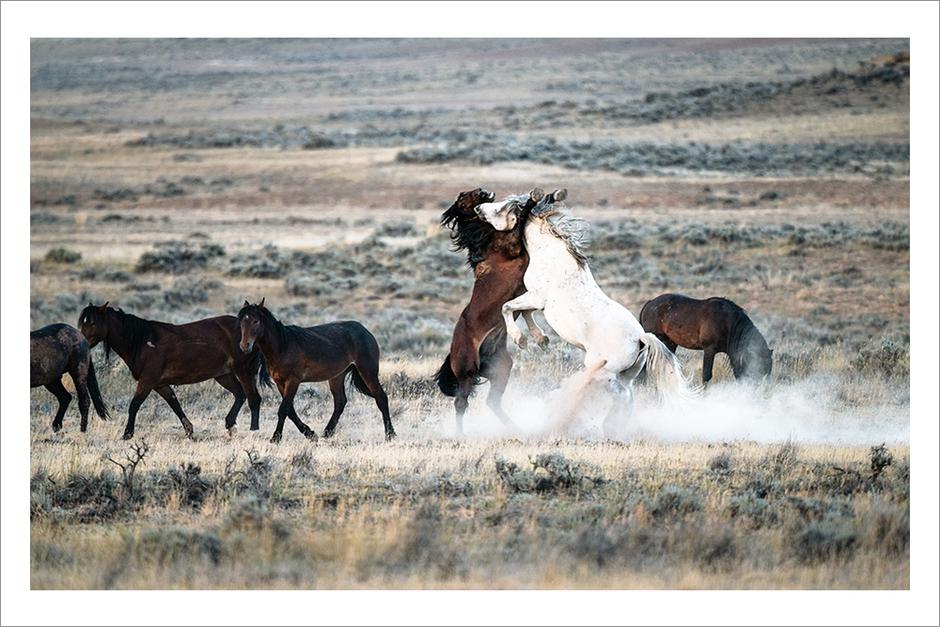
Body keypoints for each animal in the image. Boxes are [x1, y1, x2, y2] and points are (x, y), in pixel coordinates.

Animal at [78, 302, 271, 440]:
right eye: (82, 323)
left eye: (93, 323)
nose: (81, 343)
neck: (142, 341)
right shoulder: (160, 384)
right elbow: (174, 404)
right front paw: (189, 431)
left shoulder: (147, 381)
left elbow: (134, 405)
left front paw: (127, 434)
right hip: (224, 375)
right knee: (240, 395)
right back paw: (230, 425)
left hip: (244, 371)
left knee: (254, 399)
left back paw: (253, 430)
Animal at [237, 300, 395, 443]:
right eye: (241, 322)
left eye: (256, 321)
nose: (245, 346)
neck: (282, 347)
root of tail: (365, 331)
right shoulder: (280, 383)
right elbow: (290, 411)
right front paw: (310, 434)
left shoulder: (293, 381)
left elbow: (283, 410)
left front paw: (275, 438)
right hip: (337, 376)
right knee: (340, 402)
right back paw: (327, 432)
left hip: (368, 372)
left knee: (381, 397)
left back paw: (390, 435)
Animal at [434, 187, 561, 436]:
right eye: (463, 196)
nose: (483, 190)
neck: (485, 241)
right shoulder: (513, 247)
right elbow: (520, 222)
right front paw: (530, 201)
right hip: (467, 370)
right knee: (461, 402)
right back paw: (461, 434)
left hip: (501, 368)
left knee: (492, 401)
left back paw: (516, 428)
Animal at [474, 191, 697, 434]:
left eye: (504, 207)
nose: (478, 209)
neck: (551, 255)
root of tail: (640, 337)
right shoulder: (536, 301)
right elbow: (525, 313)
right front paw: (540, 339)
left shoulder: (536, 296)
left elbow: (507, 308)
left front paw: (520, 339)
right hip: (627, 375)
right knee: (628, 397)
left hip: (603, 370)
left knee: (617, 394)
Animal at [639, 294, 773, 385]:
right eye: (761, 366)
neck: (727, 321)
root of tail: (649, 303)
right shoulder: (709, 349)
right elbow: (706, 375)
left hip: (670, 343)